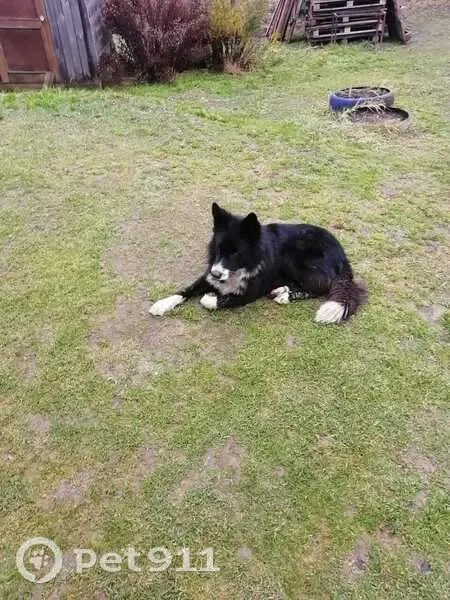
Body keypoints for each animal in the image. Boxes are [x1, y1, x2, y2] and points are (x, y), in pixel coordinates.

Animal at [149, 203, 366, 324]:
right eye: (219, 249)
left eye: (236, 253)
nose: (217, 274)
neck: (239, 269)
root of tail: (343, 255)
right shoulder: (208, 276)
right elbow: (186, 290)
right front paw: (161, 304)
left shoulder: (249, 293)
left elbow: (221, 300)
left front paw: (209, 298)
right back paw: (282, 290)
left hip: (298, 259)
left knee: (320, 287)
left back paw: (285, 296)